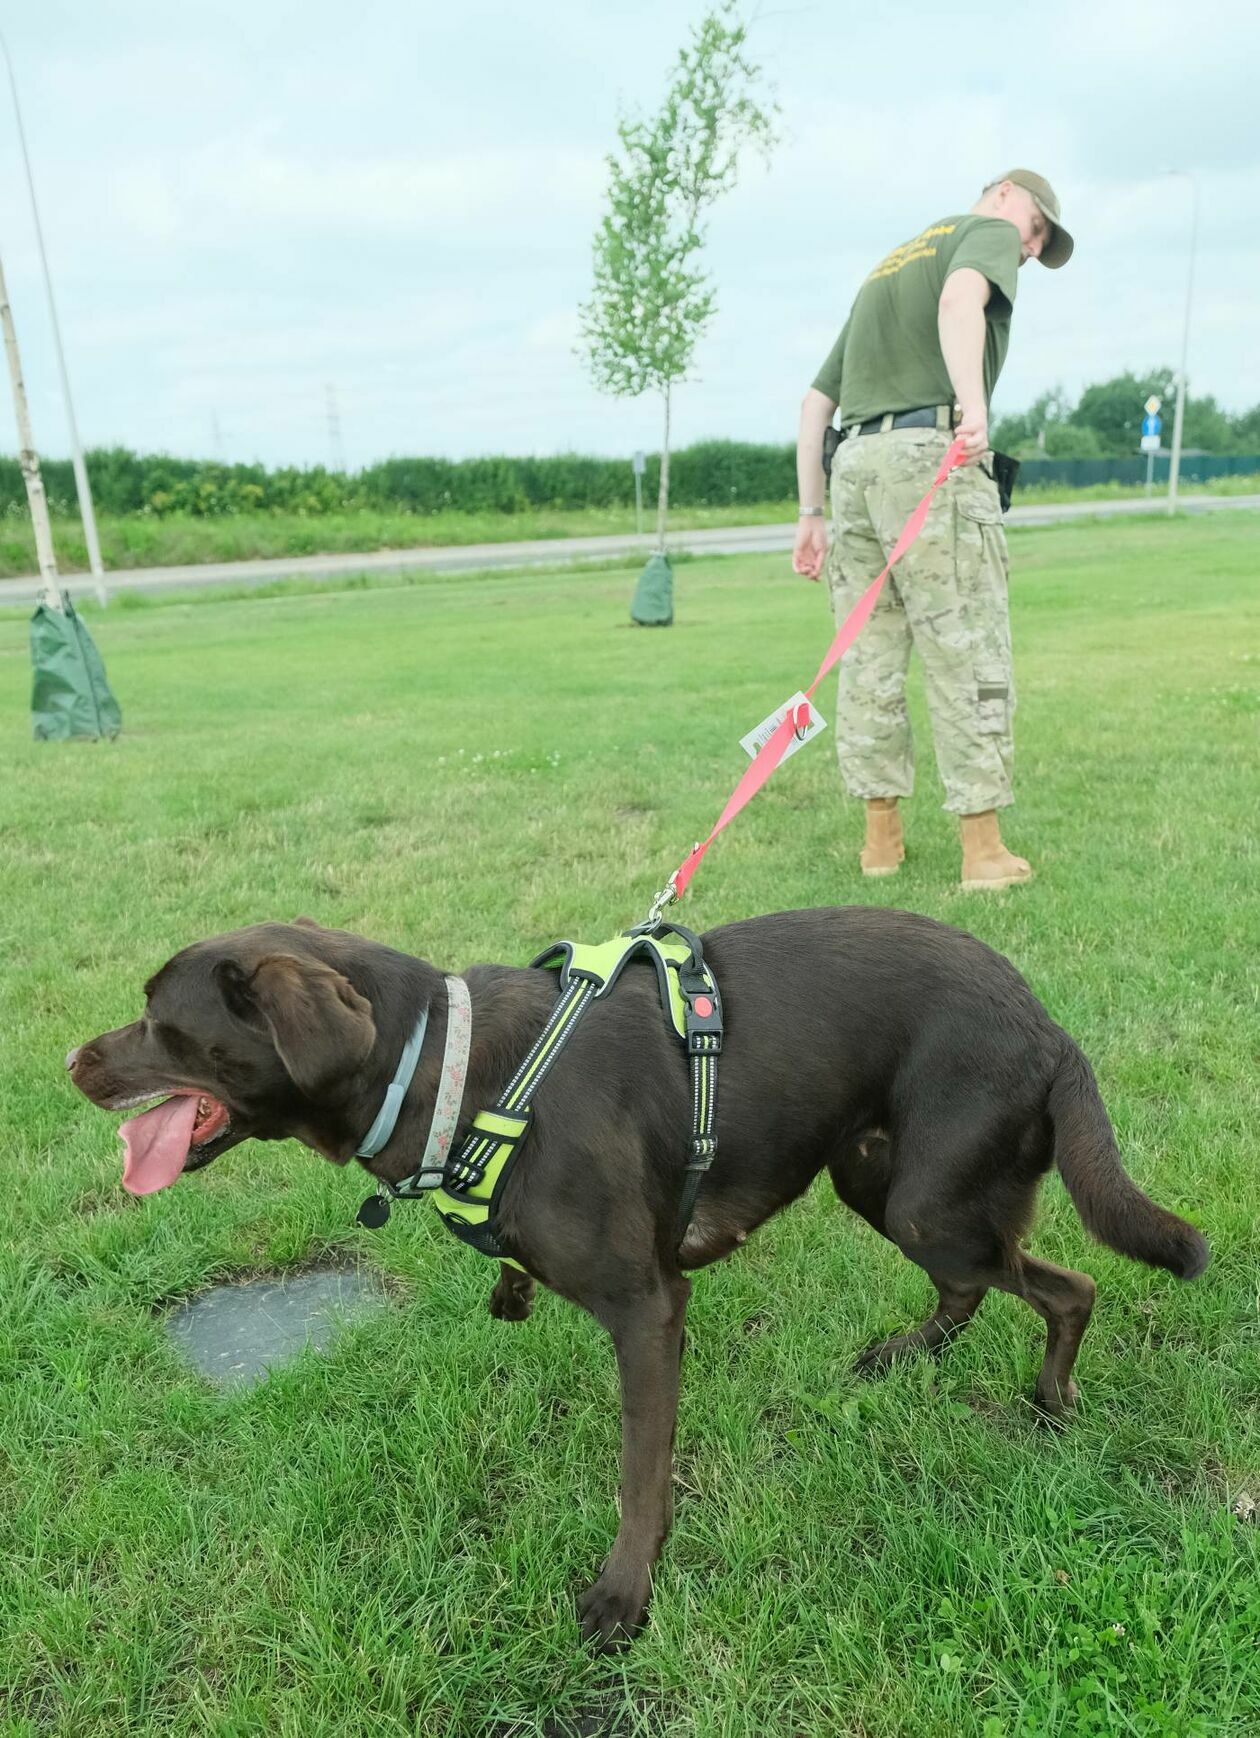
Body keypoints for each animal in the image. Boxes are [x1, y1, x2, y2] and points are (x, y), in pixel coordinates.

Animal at [68, 903, 1209, 1647]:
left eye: (165, 1026)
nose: (72, 1062)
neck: (452, 1073)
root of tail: (1046, 1024)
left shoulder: (649, 1311)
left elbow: (639, 1473)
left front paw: (625, 1595)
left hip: (929, 1197)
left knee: (1067, 1288)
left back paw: (1051, 1400)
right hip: (873, 1174)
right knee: (973, 1284)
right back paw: (905, 1356)